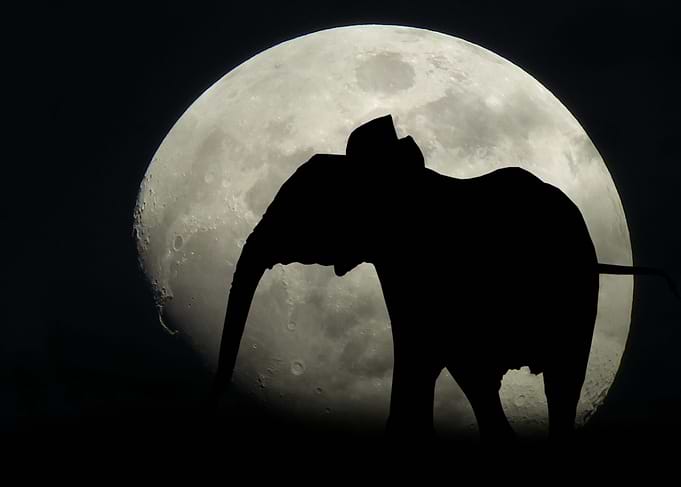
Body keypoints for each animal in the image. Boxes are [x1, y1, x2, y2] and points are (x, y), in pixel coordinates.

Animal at [209, 114, 678, 442]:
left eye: (305, 206)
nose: (225, 390)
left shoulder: (422, 267)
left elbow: (418, 360)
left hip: (575, 298)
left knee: (555, 383)